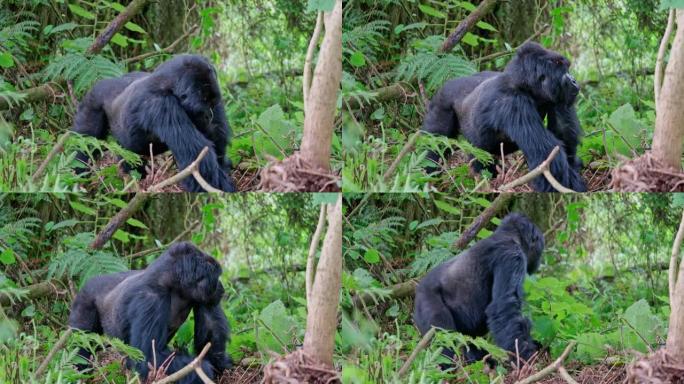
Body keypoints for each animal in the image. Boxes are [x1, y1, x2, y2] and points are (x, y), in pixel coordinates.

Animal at [68, 242, 232, 382]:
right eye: (216, 277)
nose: (221, 287)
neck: (170, 280)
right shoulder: (150, 300)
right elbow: (148, 356)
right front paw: (203, 370)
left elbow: (211, 331)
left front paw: (219, 362)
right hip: (85, 297)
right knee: (81, 343)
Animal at [72, 54, 236, 192]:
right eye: (204, 106)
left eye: (212, 104)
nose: (209, 116)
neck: (169, 84)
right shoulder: (161, 104)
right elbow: (196, 156)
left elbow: (217, 135)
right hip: (92, 101)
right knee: (85, 142)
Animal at [414, 213, 544, 366]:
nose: (540, 257)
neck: (509, 235)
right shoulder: (512, 256)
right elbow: (504, 307)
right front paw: (525, 357)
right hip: (426, 301)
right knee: (444, 338)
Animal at [422, 42, 588, 192]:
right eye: (563, 72)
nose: (573, 80)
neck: (524, 85)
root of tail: (447, 84)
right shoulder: (514, 103)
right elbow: (545, 153)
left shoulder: (553, 97)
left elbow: (563, 131)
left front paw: (575, 166)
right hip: (442, 102)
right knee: (436, 143)